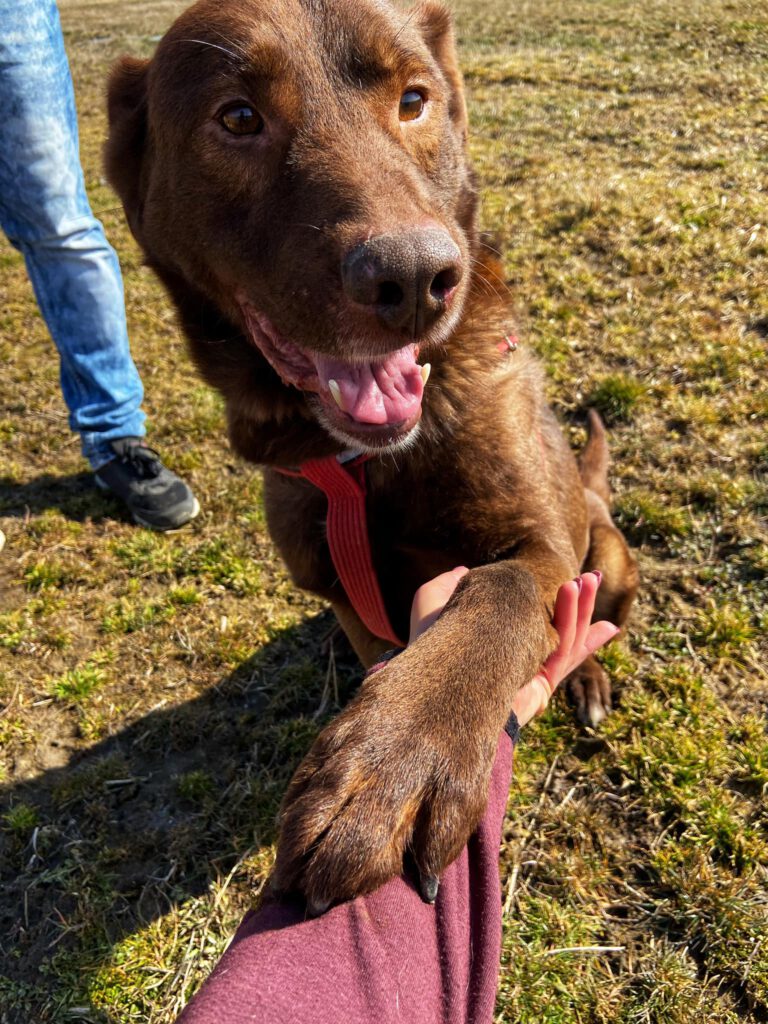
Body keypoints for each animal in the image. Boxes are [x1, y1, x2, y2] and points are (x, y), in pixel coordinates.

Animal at [105, 0, 638, 913]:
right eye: (237, 118)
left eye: (414, 100)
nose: (417, 278)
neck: (366, 464)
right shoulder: (341, 587)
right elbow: (382, 644)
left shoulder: (543, 543)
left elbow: (495, 598)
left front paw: (398, 758)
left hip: (610, 550)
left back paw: (586, 678)